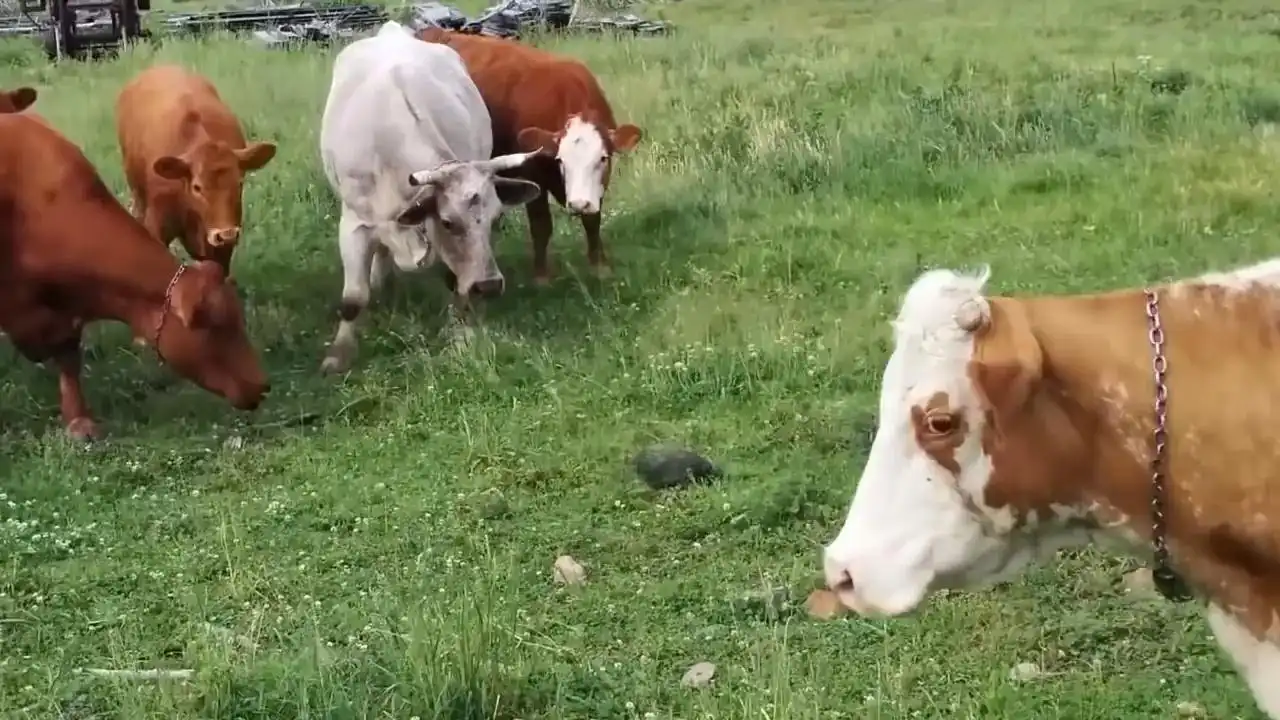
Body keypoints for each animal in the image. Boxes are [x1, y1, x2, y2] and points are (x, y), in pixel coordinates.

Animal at [318, 20, 542, 374]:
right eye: (448, 222)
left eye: (495, 218)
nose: (490, 285)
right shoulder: (353, 223)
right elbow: (353, 298)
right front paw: (338, 355)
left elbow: (456, 281)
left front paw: (462, 334)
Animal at [416, 28, 643, 285]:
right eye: (560, 160)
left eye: (603, 158)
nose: (578, 204)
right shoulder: (532, 175)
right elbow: (541, 225)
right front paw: (541, 276)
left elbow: (593, 220)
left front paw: (599, 266)